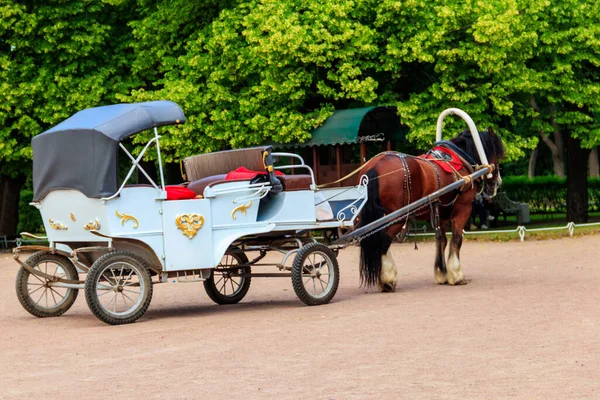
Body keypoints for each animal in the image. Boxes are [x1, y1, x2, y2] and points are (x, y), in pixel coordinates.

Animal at [358, 130, 504, 292]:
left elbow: (441, 240)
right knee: (384, 240)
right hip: (398, 217)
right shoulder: (463, 210)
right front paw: (456, 275)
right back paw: (387, 280)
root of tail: (376, 166)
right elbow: (456, 240)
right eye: (496, 154)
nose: (497, 182)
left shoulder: (440, 214)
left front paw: (442, 273)